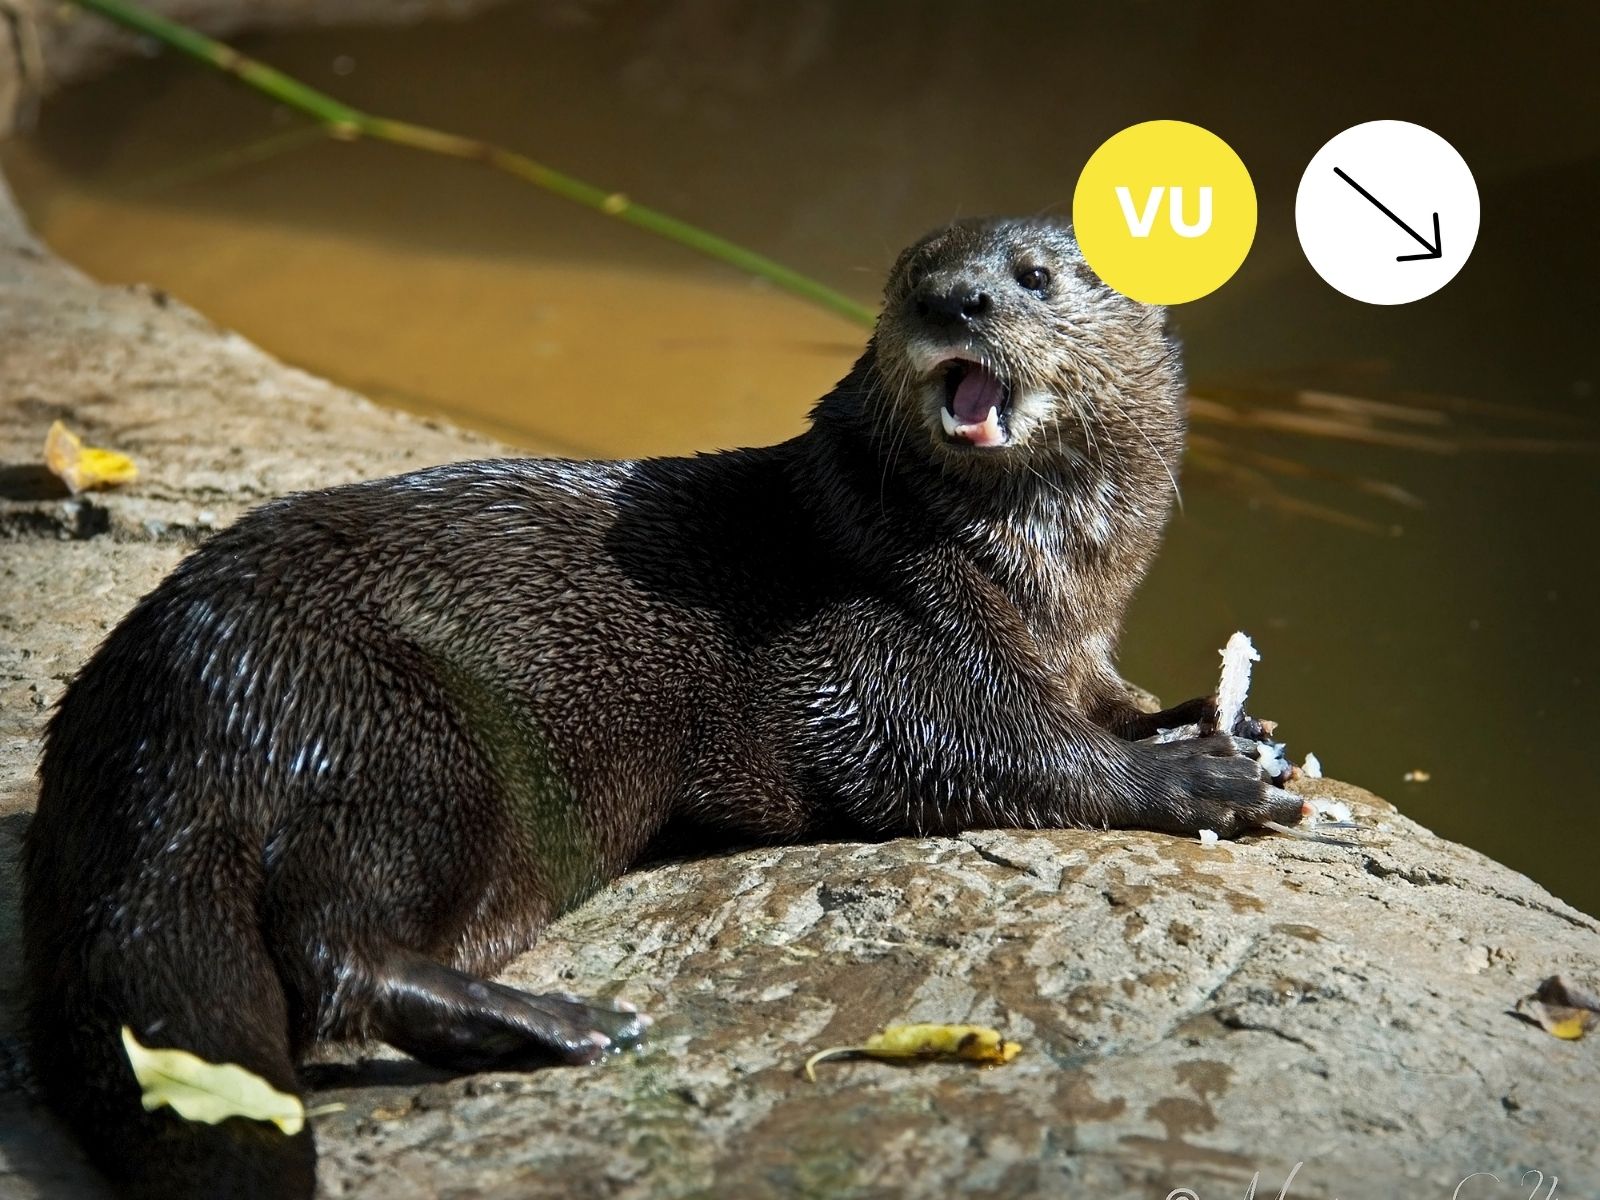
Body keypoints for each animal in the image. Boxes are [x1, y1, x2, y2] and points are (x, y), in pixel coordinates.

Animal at [23, 217, 1301, 1199]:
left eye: (1034, 275)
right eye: (907, 276)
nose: (956, 299)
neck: (1044, 584)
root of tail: (168, 701)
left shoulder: (1070, 649)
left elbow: (1105, 704)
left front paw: (1226, 720)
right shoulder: (863, 650)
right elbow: (979, 748)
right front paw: (1203, 780)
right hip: (404, 738)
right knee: (338, 955)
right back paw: (564, 1023)